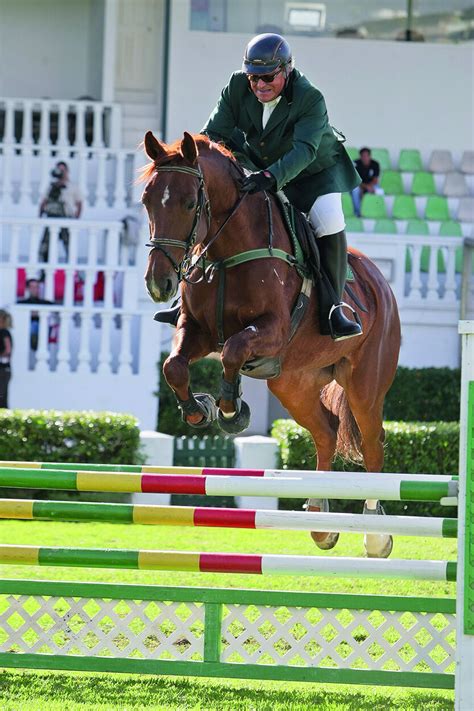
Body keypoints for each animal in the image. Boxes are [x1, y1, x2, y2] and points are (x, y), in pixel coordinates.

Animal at [141, 131, 400, 560]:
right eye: (147, 200)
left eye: (190, 203)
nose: (159, 284)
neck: (225, 252)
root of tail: (381, 283)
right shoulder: (195, 330)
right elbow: (174, 366)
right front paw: (199, 410)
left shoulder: (272, 330)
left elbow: (233, 350)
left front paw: (231, 411)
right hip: (293, 383)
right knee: (327, 431)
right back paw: (320, 521)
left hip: (365, 384)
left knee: (373, 445)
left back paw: (374, 535)